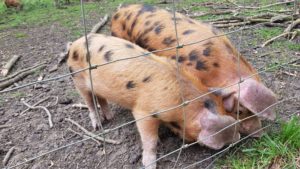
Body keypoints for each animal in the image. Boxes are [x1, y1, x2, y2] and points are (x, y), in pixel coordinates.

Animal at [67, 33, 240, 168]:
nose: (238, 137)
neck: (182, 103)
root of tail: (74, 44)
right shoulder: (143, 111)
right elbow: (149, 139)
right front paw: (150, 164)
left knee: (102, 98)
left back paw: (110, 117)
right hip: (78, 78)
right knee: (89, 102)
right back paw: (98, 125)